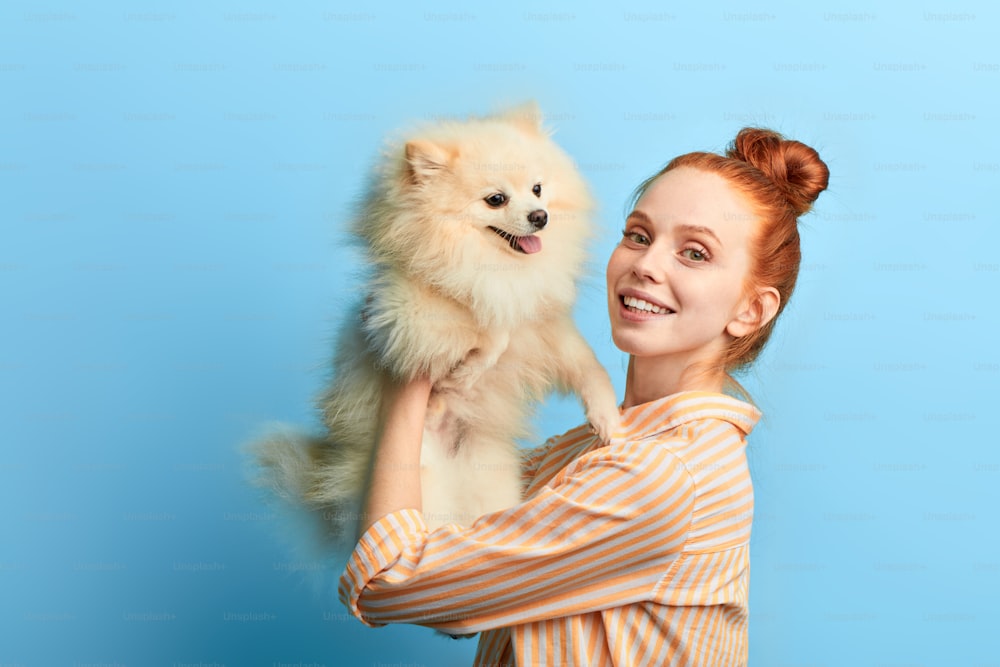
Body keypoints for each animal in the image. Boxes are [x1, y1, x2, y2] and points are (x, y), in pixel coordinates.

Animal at [252, 103, 616, 544]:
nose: (540, 216)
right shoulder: (405, 311)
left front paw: (609, 419)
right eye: (496, 200)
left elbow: (587, 365)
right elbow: (487, 329)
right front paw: (463, 375)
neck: (495, 267)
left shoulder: (547, 326)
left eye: (537, 189)